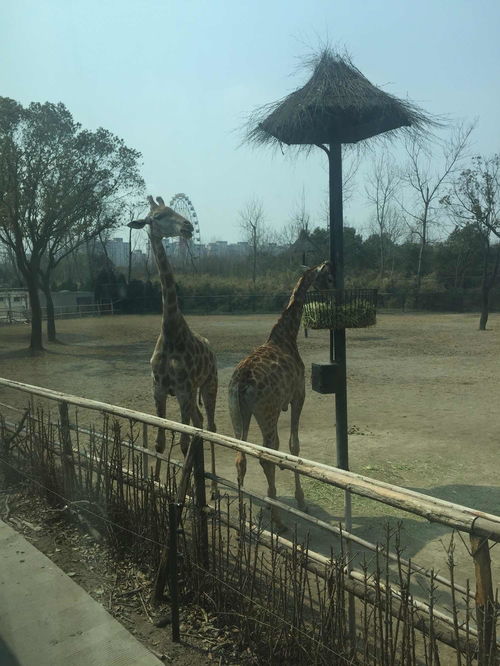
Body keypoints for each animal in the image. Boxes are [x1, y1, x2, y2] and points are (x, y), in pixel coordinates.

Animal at [127, 196, 217, 482]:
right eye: (157, 217)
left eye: (173, 210)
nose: (187, 226)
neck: (170, 331)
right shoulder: (159, 389)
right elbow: (160, 442)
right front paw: (155, 481)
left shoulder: (184, 390)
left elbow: (185, 444)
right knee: (200, 423)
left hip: (209, 385)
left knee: (211, 427)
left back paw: (213, 485)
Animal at [229, 262, 332, 528]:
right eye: (328, 277)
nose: (332, 291)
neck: (287, 336)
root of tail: (242, 383)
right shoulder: (298, 396)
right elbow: (293, 446)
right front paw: (301, 501)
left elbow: (279, 448)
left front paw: (270, 499)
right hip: (267, 411)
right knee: (265, 456)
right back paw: (278, 520)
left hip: (239, 413)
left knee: (241, 456)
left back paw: (244, 515)